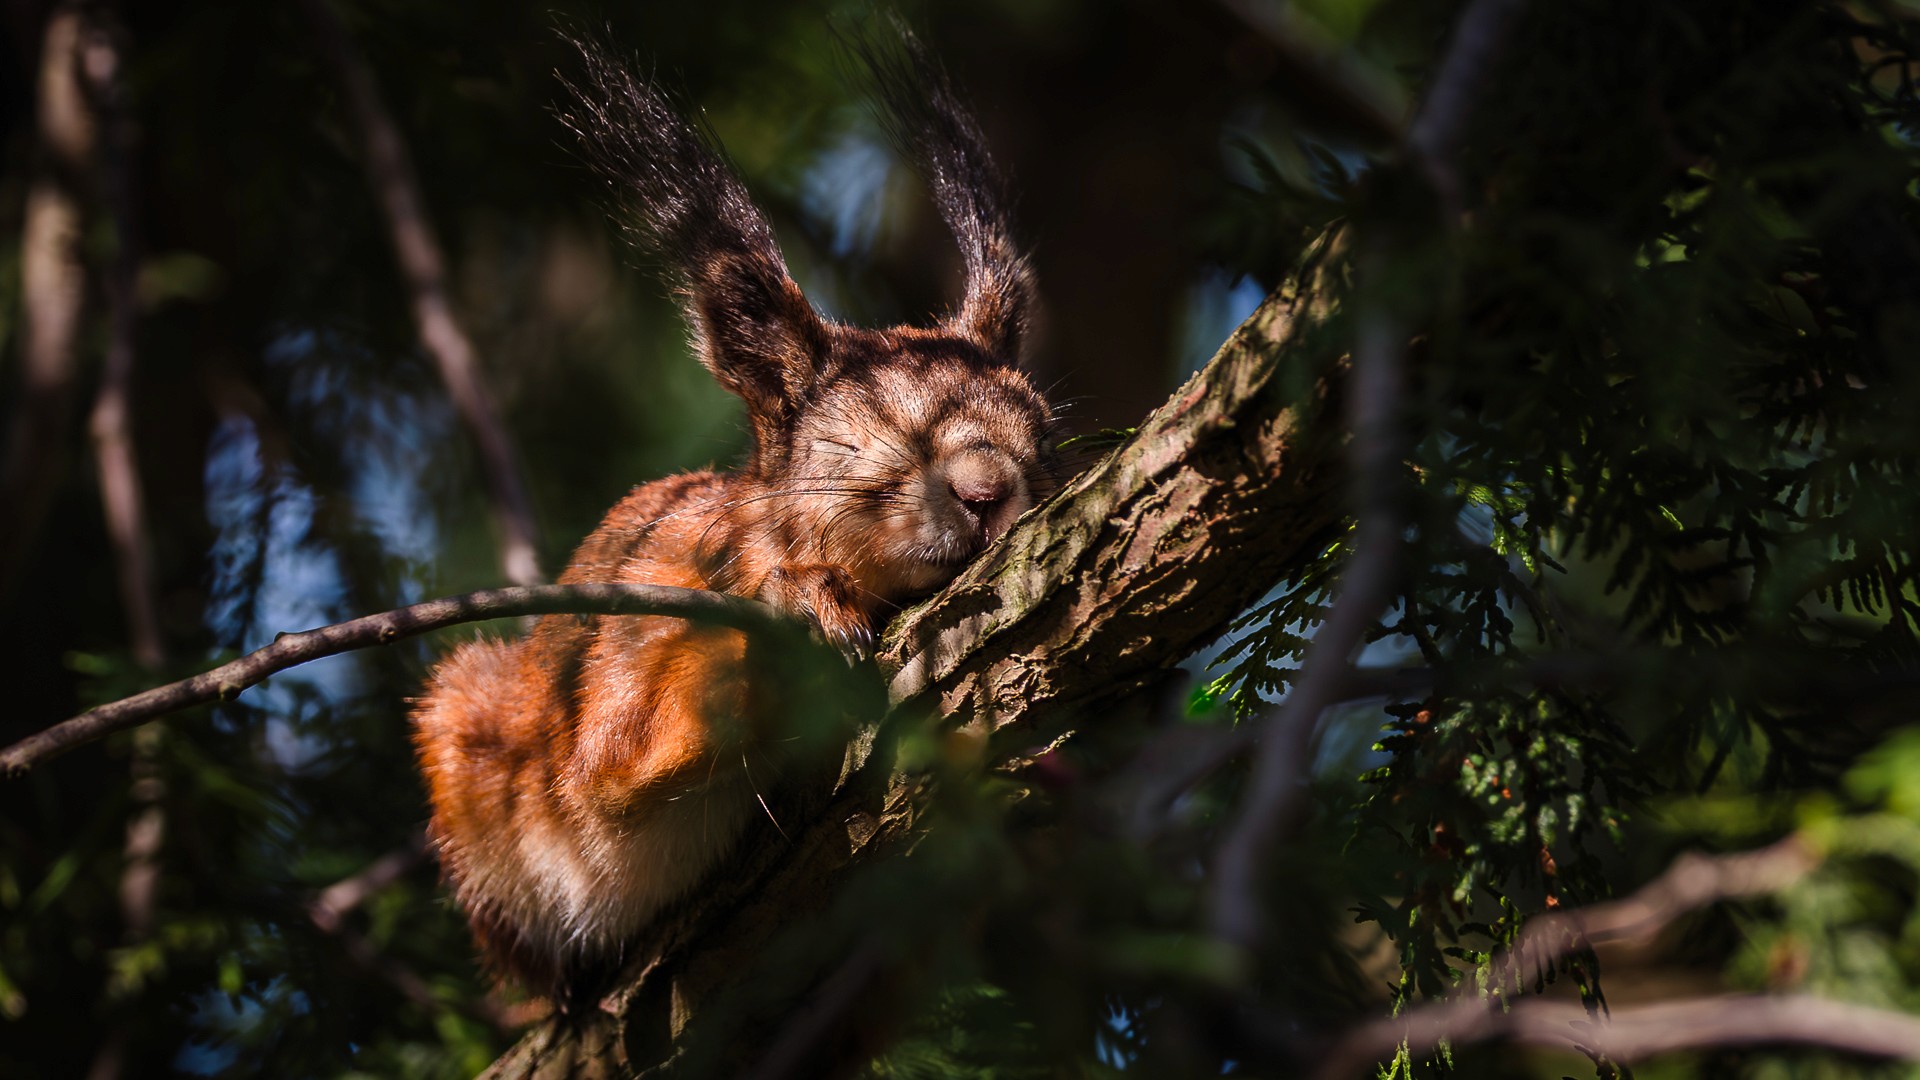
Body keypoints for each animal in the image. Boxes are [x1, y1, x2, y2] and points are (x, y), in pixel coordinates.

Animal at [410, 26, 1056, 995]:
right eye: (883, 434)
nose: (988, 493)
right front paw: (802, 606)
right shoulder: (633, 644)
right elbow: (629, 736)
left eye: (1041, 435)